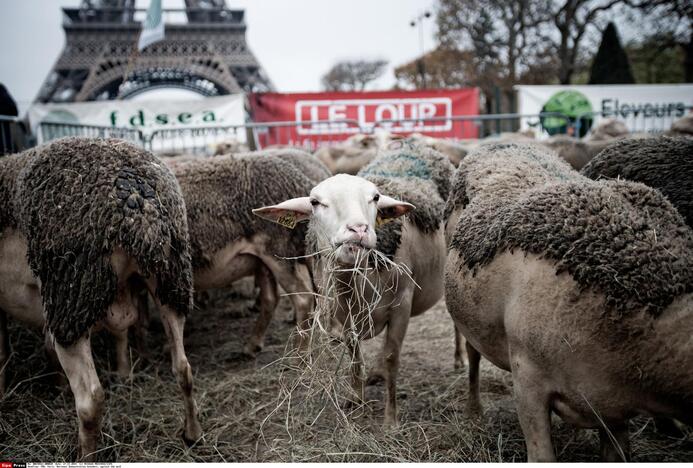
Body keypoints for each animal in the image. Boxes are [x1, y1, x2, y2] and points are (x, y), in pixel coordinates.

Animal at [0, 137, 200, 458]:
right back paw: (193, 433)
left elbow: (3, 350)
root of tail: (140, 203)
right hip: (171, 281)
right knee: (183, 368)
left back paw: (86, 455)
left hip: (71, 300)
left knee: (90, 399)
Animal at [254, 144, 454, 426]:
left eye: (375, 197)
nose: (358, 229)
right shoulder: (345, 316)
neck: (358, 284)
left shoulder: (402, 305)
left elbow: (392, 358)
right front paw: (356, 400)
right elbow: (354, 356)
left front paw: (390, 420)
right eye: (315, 202)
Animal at [444, 142, 692, 460]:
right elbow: (541, 455)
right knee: (473, 357)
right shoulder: (528, 381)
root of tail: (499, 143)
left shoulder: (613, 409)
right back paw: (473, 411)